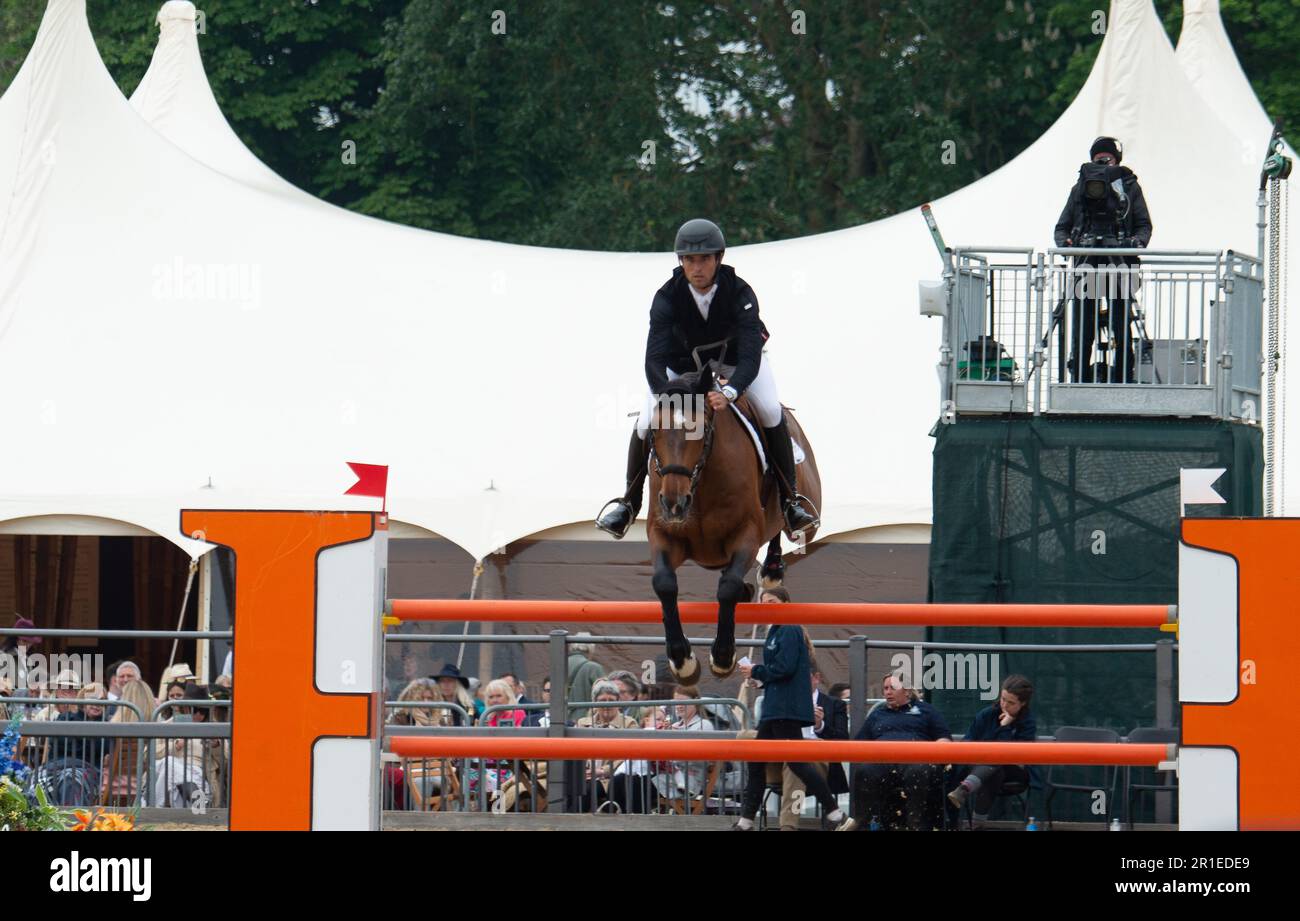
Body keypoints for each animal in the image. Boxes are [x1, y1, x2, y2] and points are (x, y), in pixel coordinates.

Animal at [647, 369, 821, 681]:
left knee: (780, 528)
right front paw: (682, 660)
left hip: (807, 514)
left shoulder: (746, 535)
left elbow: (728, 587)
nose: (674, 503)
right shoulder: (663, 534)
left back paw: (773, 567)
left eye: (701, 429)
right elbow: (665, 583)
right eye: (654, 431)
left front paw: (722, 657)